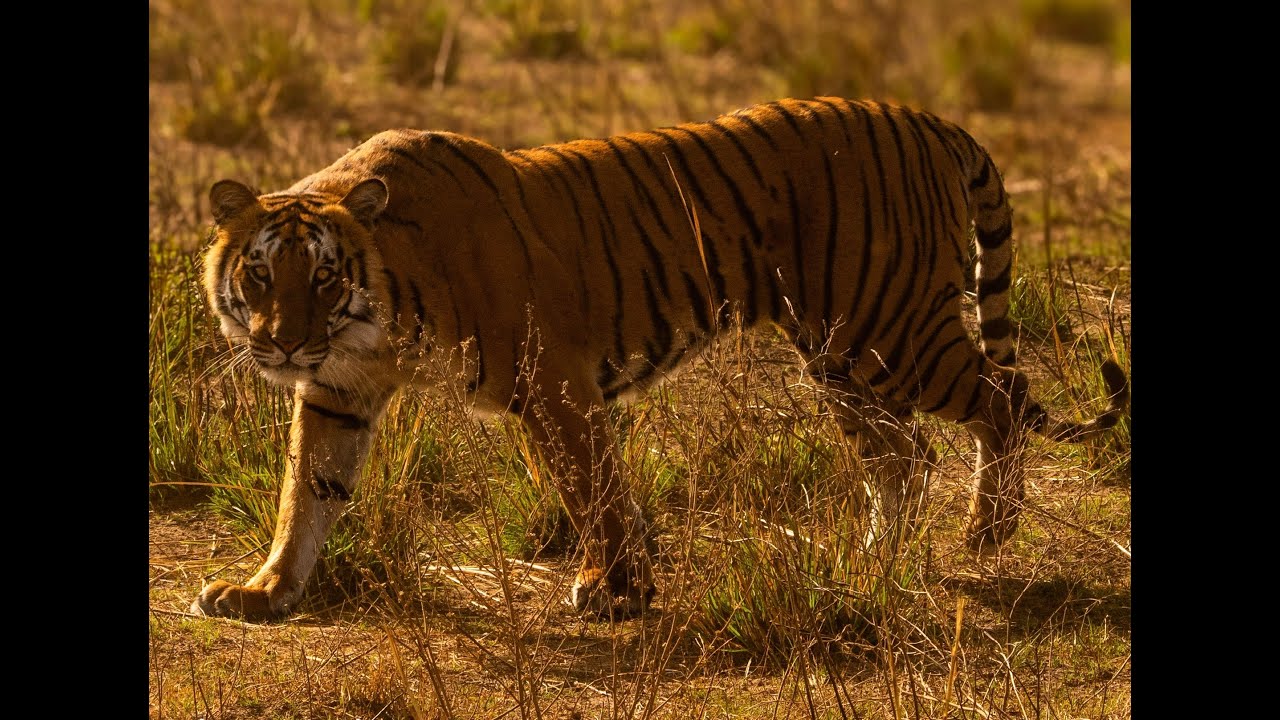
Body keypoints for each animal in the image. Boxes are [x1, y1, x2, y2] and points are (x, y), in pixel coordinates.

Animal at [191, 97, 1129, 621]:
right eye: (261, 272)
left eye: (323, 275)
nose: (282, 342)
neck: (374, 315)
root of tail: (932, 120)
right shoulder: (338, 391)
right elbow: (304, 500)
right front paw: (264, 594)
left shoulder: (553, 383)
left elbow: (595, 491)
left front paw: (614, 592)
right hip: (839, 351)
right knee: (905, 453)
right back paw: (868, 560)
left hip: (891, 329)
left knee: (1003, 393)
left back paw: (988, 530)